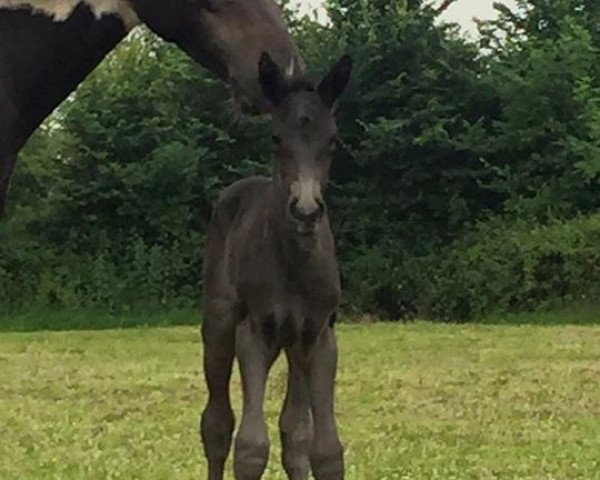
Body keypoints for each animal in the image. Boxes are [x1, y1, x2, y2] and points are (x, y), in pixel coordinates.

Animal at [202, 52, 352, 480]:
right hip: (219, 323)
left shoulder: (319, 335)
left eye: (332, 140)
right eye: (275, 138)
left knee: (294, 430)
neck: (294, 265)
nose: (305, 209)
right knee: (216, 423)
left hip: (294, 342)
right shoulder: (253, 333)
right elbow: (251, 447)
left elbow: (325, 449)